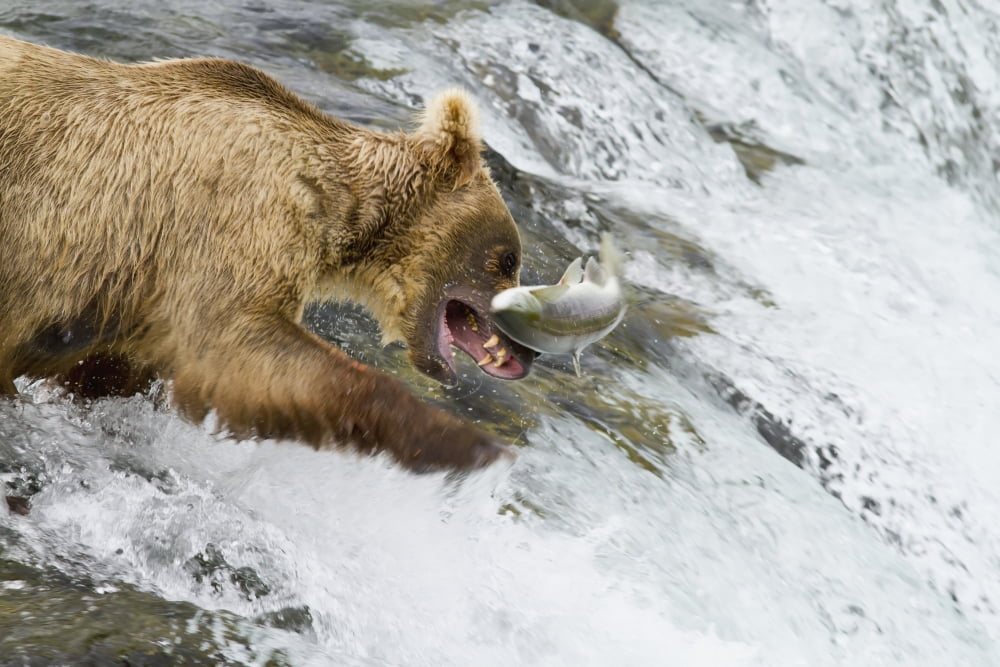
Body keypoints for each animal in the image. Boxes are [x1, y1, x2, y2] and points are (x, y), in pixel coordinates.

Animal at [0, 34, 537, 472]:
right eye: (508, 259)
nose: (526, 351)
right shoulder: (231, 218)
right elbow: (237, 344)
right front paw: (465, 443)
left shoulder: (135, 294)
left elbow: (107, 372)